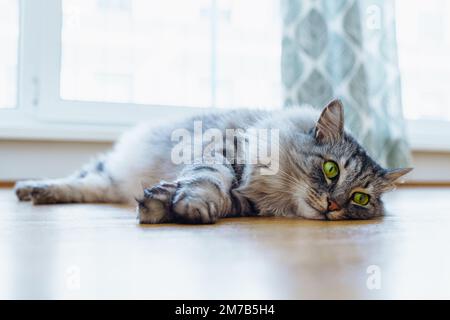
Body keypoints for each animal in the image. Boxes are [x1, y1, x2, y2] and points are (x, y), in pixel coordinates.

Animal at [13, 99, 412, 222]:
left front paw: (165, 205)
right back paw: (29, 188)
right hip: (105, 172)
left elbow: (221, 199)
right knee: (75, 180)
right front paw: (188, 203)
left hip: (105, 184)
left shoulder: (246, 204)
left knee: (86, 188)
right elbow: (208, 179)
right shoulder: (220, 148)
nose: (333, 206)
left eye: (360, 198)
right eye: (331, 170)